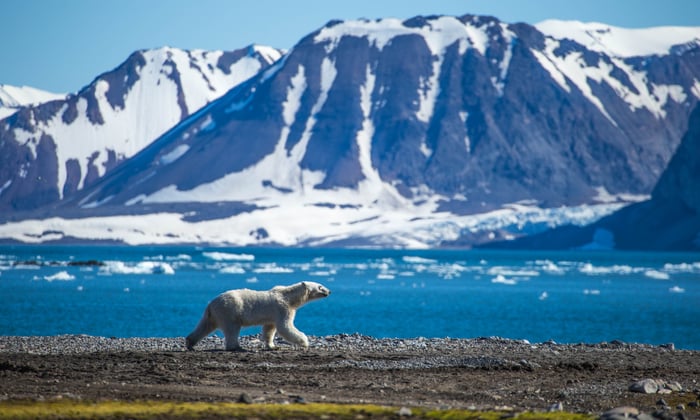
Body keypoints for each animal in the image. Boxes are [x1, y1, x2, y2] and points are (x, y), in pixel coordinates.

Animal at [185, 281, 330, 351]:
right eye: (320, 286)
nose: (329, 291)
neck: (289, 297)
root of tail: (211, 303)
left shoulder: (273, 315)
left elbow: (269, 329)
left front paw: (272, 346)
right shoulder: (282, 309)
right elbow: (285, 327)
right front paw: (305, 342)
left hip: (213, 314)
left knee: (205, 326)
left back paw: (190, 343)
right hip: (229, 311)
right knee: (232, 329)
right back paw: (236, 347)